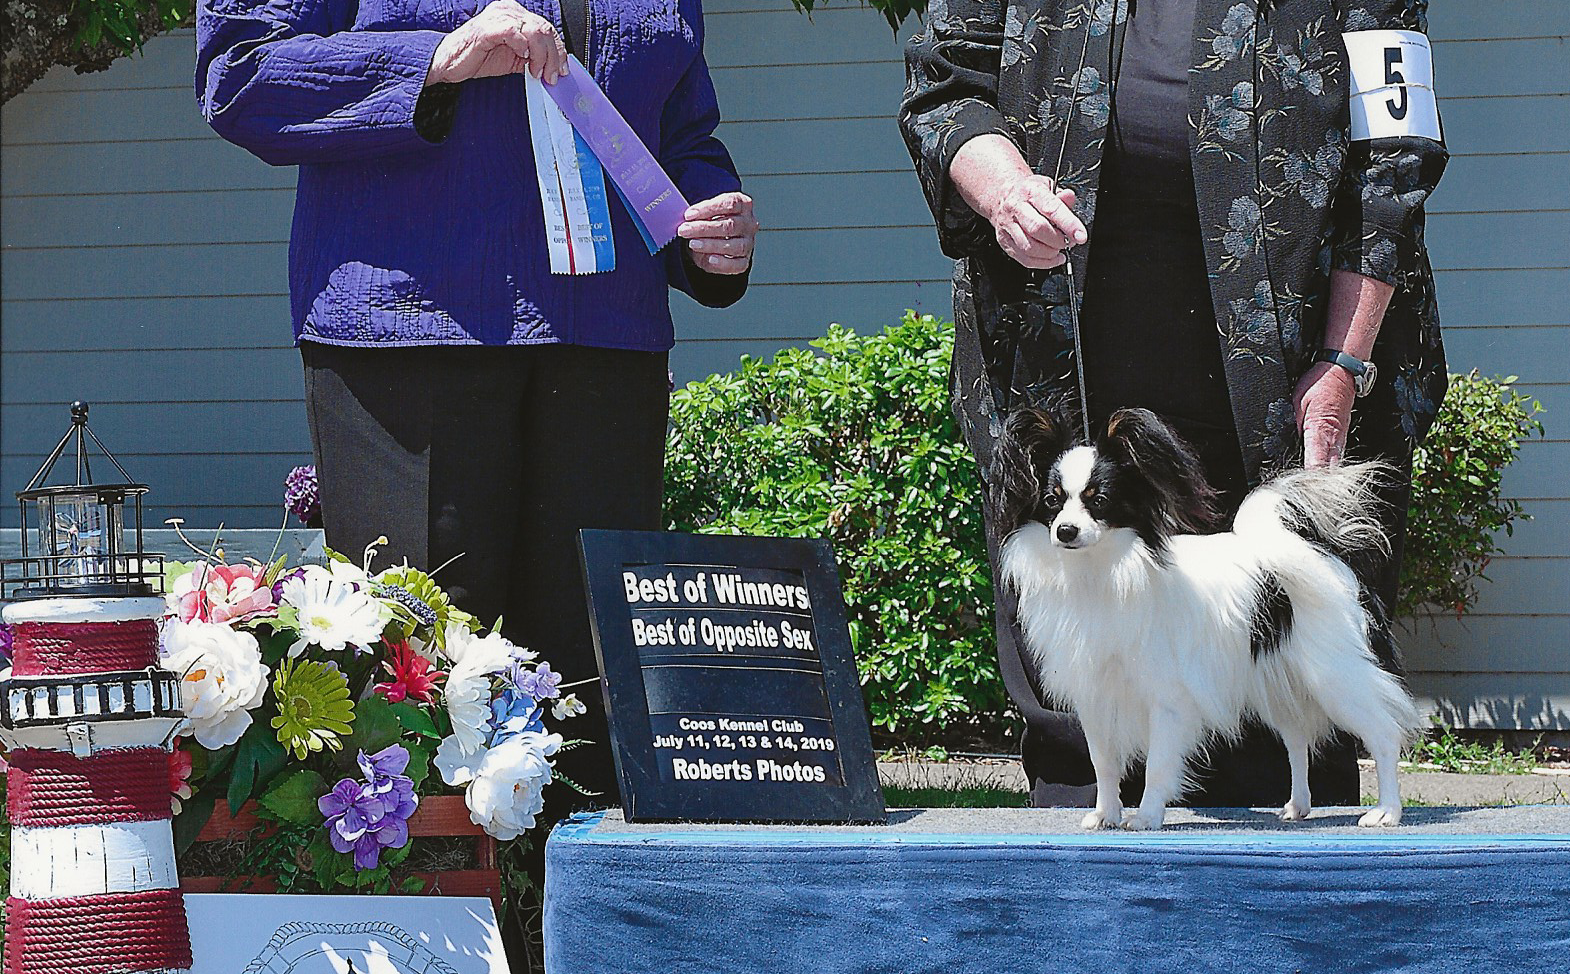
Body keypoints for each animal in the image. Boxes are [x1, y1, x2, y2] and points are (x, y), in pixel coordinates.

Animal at [993, 406, 1422, 830]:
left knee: (1383, 733)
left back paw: (1387, 811)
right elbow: (1104, 764)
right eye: (1052, 501)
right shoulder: (1096, 697)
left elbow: (1157, 766)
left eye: (1099, 500)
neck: (1100, 571)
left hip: (1335, 676)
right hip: (1282, 686)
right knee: (1297, 742)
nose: (1066, 531)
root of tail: (1319, 553)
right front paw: (1105, 815)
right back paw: (1296, 807)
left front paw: (1146, 817)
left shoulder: (1167, 699)